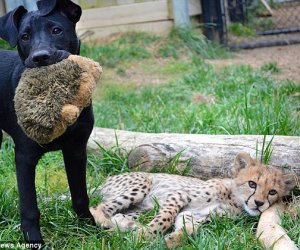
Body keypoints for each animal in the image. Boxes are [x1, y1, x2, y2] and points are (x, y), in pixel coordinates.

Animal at [0, 0, 95, 246]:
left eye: (56, 30)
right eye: (24, 37)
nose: (41, 57)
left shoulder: (76, 149)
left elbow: (80, 195)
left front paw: (91, 230)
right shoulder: (24, 156)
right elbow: (29, 207)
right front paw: (34, 241)